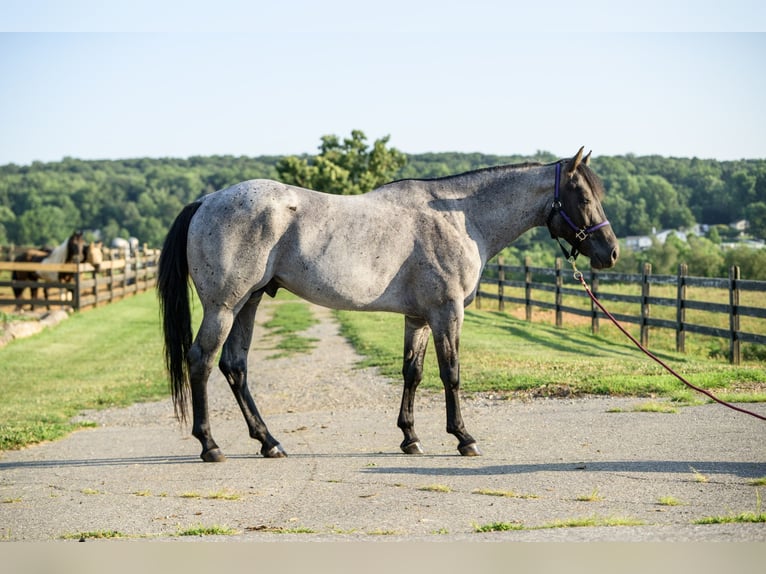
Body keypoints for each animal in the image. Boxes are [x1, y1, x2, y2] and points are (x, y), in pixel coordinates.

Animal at [158, 147, 619, 463]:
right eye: (582, 196)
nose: (610, 252)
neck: (460, 217)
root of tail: (207, 200)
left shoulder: (418, 318)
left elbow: (412, 373)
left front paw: (410, 438)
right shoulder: (447, 312)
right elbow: (451, 374)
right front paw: (463, 438)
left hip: (249, 303)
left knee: (234, 366)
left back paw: (269, 442)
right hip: (224, 307)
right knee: (201, 361)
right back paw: (210, 445)